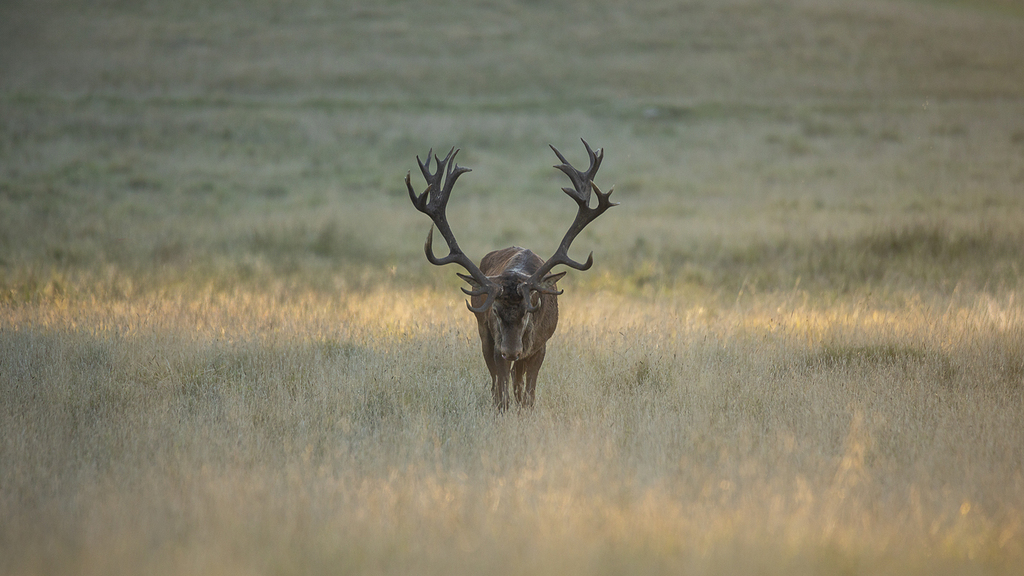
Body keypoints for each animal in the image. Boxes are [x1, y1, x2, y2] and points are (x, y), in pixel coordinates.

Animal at [405, 139, 614, 407]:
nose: (511, 351)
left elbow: (529, 395)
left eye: (528, 312)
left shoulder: (540, 346)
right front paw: (502, 408)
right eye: (495, 310)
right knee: (497, 381)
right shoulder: (495, 342)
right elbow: (502, 392)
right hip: (484, 335)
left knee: (518, 381)